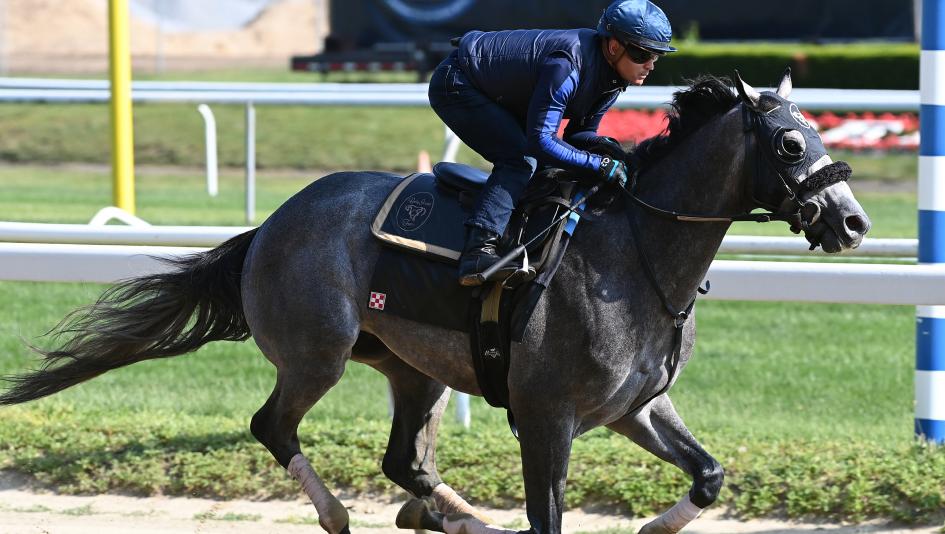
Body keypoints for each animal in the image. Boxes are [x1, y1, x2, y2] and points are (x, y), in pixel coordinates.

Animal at [0, 70, 870, 534]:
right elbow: (547, 516)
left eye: (824, 134)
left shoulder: (635, 408)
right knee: (272, 426)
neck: (637, 258)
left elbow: (710, 474)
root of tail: (271, 223)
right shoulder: (546, 418)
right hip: (316, 353)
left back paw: (451, 515)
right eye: (790, 142)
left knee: (403, 460)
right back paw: (346, 514)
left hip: (413, 367)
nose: (853, 222)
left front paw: (655, 522)